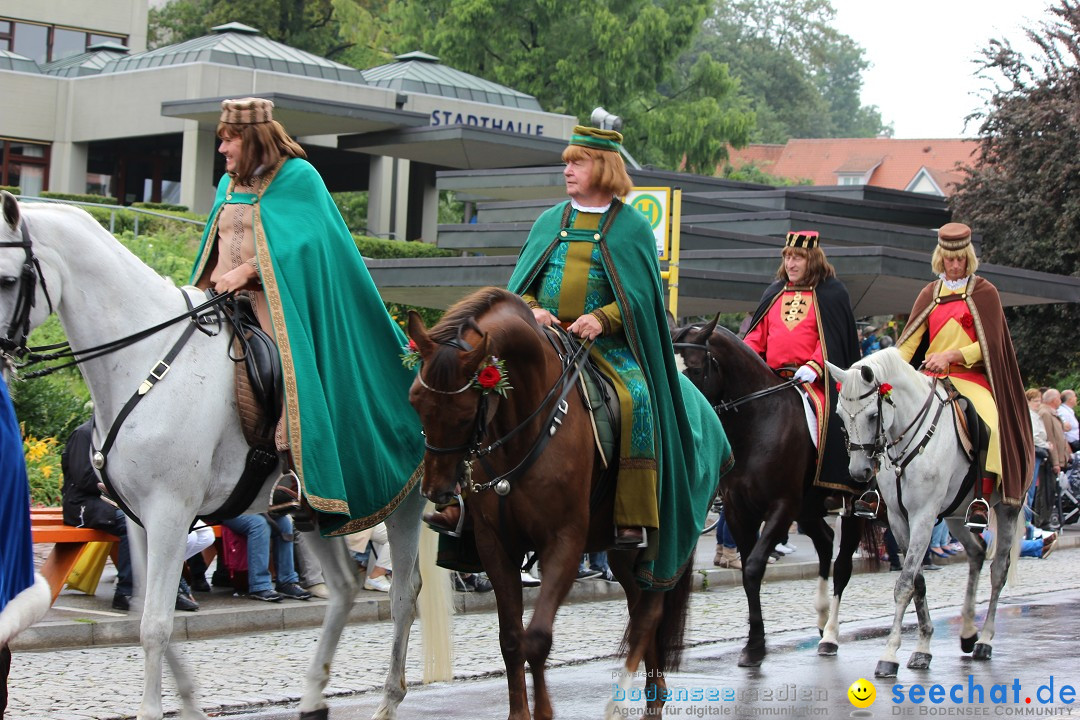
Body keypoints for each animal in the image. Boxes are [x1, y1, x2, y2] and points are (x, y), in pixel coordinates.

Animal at [0, 193, 451, 720]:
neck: (145, 361)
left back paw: (387, 700)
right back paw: (313, 696)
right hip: (312, 511)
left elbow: (155, 625)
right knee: (341, 587)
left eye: (7, 279)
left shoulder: (170, 512)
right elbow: (147, 613)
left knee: (404, 595)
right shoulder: (137, 518)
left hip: (402, 506)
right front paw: (189, 703)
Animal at [406, 287, 708, 720]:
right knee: (639, 609)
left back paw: (622, 701)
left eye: (464, 413)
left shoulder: (563, 543)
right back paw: (653, 695)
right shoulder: (496, 544)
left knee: (649, 613)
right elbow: (512, 639)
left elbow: (538, 638)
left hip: (666, 543)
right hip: (621, 553)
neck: (527, 426)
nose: (436, 491)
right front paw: (520, 713)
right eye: (415, 400)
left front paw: (545, 711)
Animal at [669, 317, 872, 669]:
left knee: (844, 565)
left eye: (693, 369)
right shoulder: (738, 511)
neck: (757, 423)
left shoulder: (781, 507)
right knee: (824, 543)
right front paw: (754, 644)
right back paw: (821, 620)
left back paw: (831, 636)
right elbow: (748, 573)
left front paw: (756, 645)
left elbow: (753, 568)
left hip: (852, 507)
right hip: (809, 509)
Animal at [825, 349, 1019, 682]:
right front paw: (922, 648)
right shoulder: (899, 520)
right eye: (839, 414)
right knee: (977, 553)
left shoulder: (924, 517)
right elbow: (917, 582)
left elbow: (904, 584)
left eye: (872, 416)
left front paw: (889, 655)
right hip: (956, 515)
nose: (859, 472)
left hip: (1007, 508)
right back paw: (968, 632)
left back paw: (985, 640)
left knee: (998, 570)